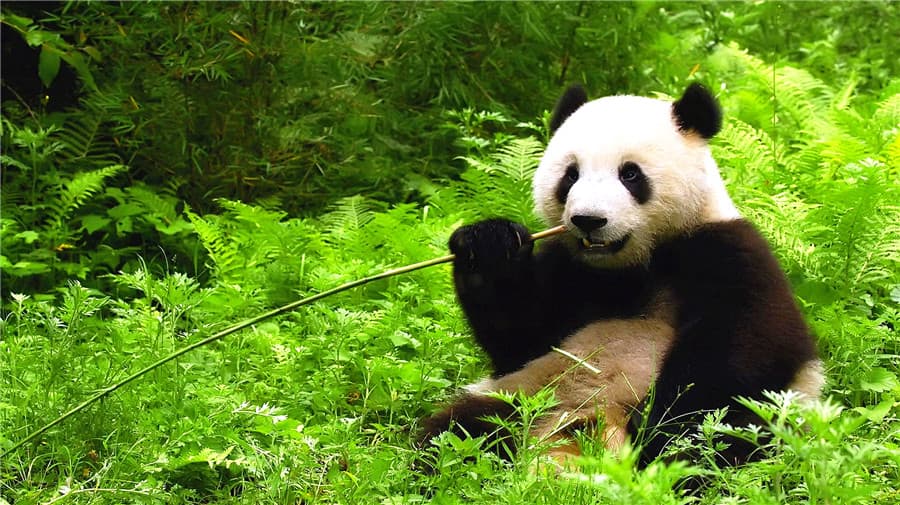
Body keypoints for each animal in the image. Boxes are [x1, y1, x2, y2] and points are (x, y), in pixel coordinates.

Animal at [419, 83, 824, 469]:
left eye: (630, 174)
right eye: (570, 175)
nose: (588, 220)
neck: (630, 265)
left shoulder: (727, 252)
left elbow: (744, 346)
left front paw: (658, 425)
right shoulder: (566, 268)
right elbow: (519, 339)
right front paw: (488, 245)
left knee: (725, 439)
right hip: (529, 392)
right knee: (459, 432)